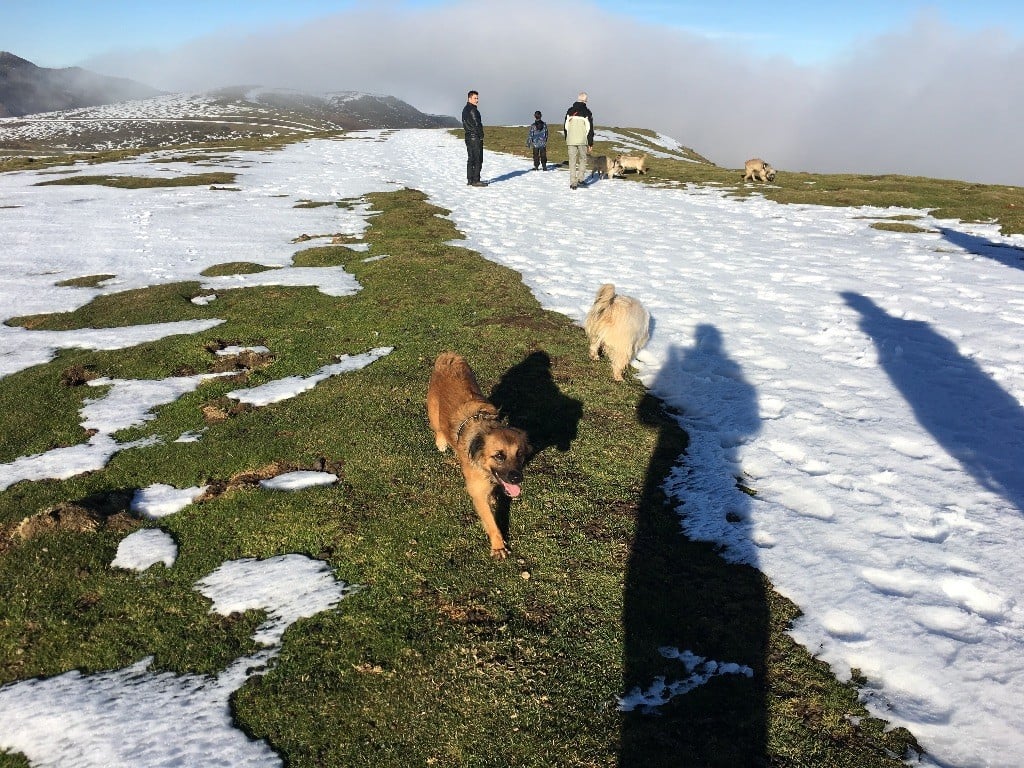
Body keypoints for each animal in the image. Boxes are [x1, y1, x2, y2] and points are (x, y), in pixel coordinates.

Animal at [428, 354, 532, 561]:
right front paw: (498, 546)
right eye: (499, 456)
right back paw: (441, 442)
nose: (517, 477)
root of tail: (448, 357)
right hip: (433, 413)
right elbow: (491, 522)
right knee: (437, 428)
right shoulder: (477, 493)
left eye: (520, 454)